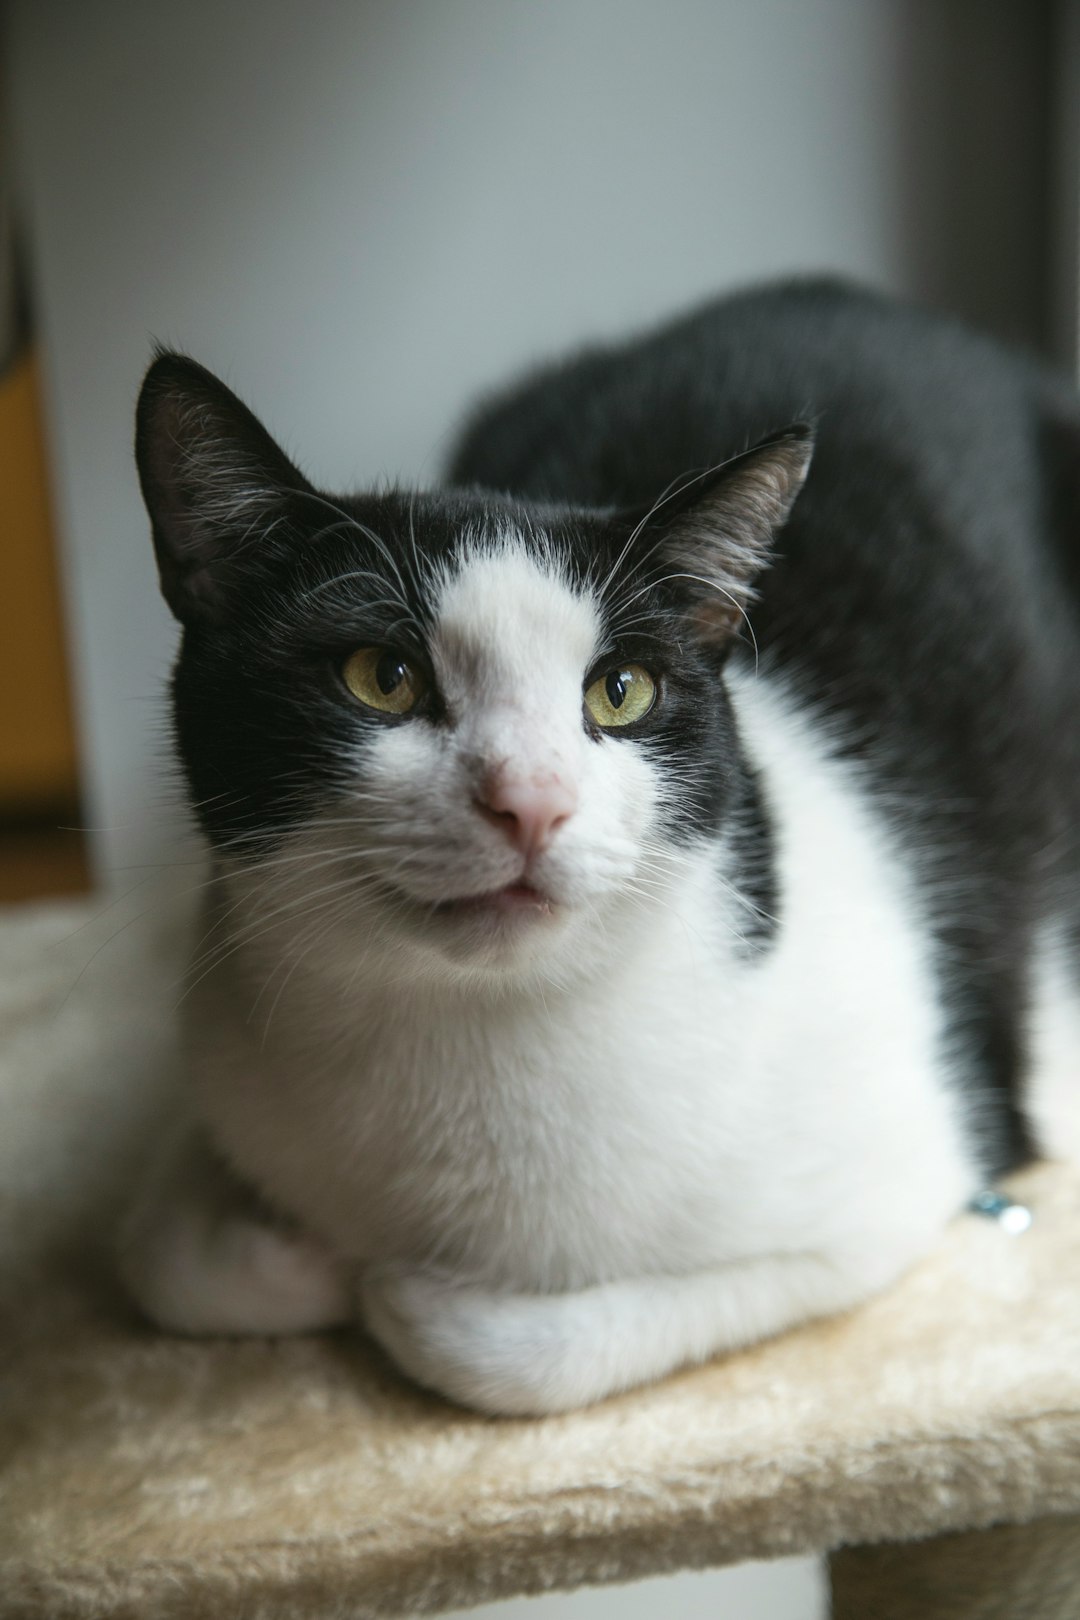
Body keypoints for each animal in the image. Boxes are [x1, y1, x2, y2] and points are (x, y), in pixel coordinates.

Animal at [118, 281, 1080, 1419]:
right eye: (381, 677)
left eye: (620, 691)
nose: (529, 803)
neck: (474, 1036)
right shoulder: (215, 1038)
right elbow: (160, 1256)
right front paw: (304, 1255)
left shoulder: (895, 1183)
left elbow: (513, 1344)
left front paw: (390, 1285)